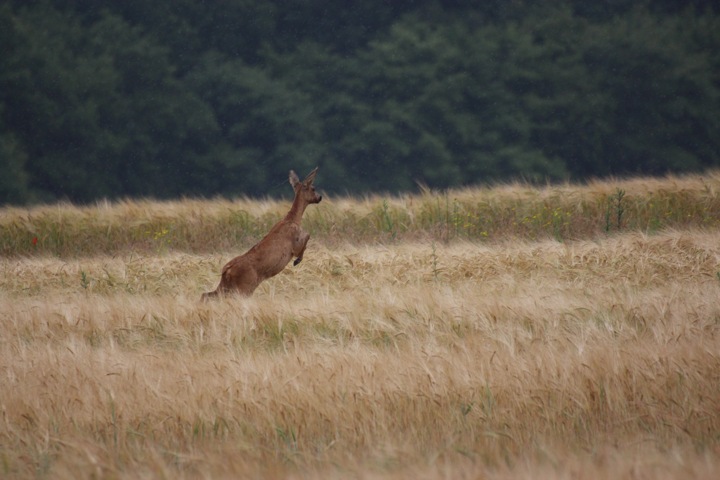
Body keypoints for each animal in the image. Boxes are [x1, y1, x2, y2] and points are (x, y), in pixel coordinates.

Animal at [204, 167, 324, 298]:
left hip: (227, 287)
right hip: (244, 286)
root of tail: (226, 270)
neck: (293, 220)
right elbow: (307, 236)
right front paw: (297, 261)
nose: (320, 197)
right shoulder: (294, 242)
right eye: (313, 188)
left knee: (205, 295)